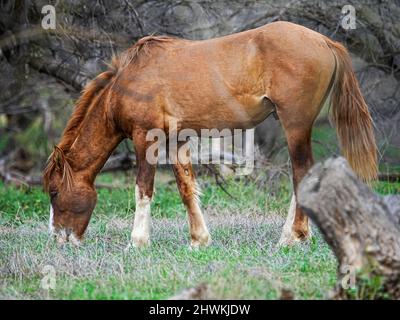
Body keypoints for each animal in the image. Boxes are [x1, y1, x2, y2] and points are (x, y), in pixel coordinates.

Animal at [43, 21, 378, 248]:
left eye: (54, 192)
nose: (59, 239)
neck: (128, 83)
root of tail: (324, 40)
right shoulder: (176, 140)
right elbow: (186, 188)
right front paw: (198, 239)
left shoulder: (144, 138)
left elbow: (143, 188)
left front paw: (137, 242)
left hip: (295, 126)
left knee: (302, 172)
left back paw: (292, 237)